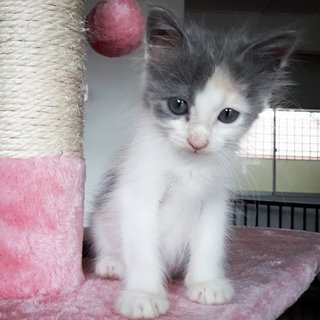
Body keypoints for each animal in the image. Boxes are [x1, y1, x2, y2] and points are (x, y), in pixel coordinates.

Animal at [88, 6, 298, 318]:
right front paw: (144, 294)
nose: (197, 141)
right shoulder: (138, 191)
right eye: (178, 105)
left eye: (227, 115)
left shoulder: (214, 198)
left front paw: (206, 283)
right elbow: (142, 247)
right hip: (103, 215)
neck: (188, 165)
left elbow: (210, 240)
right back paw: (112, 263)